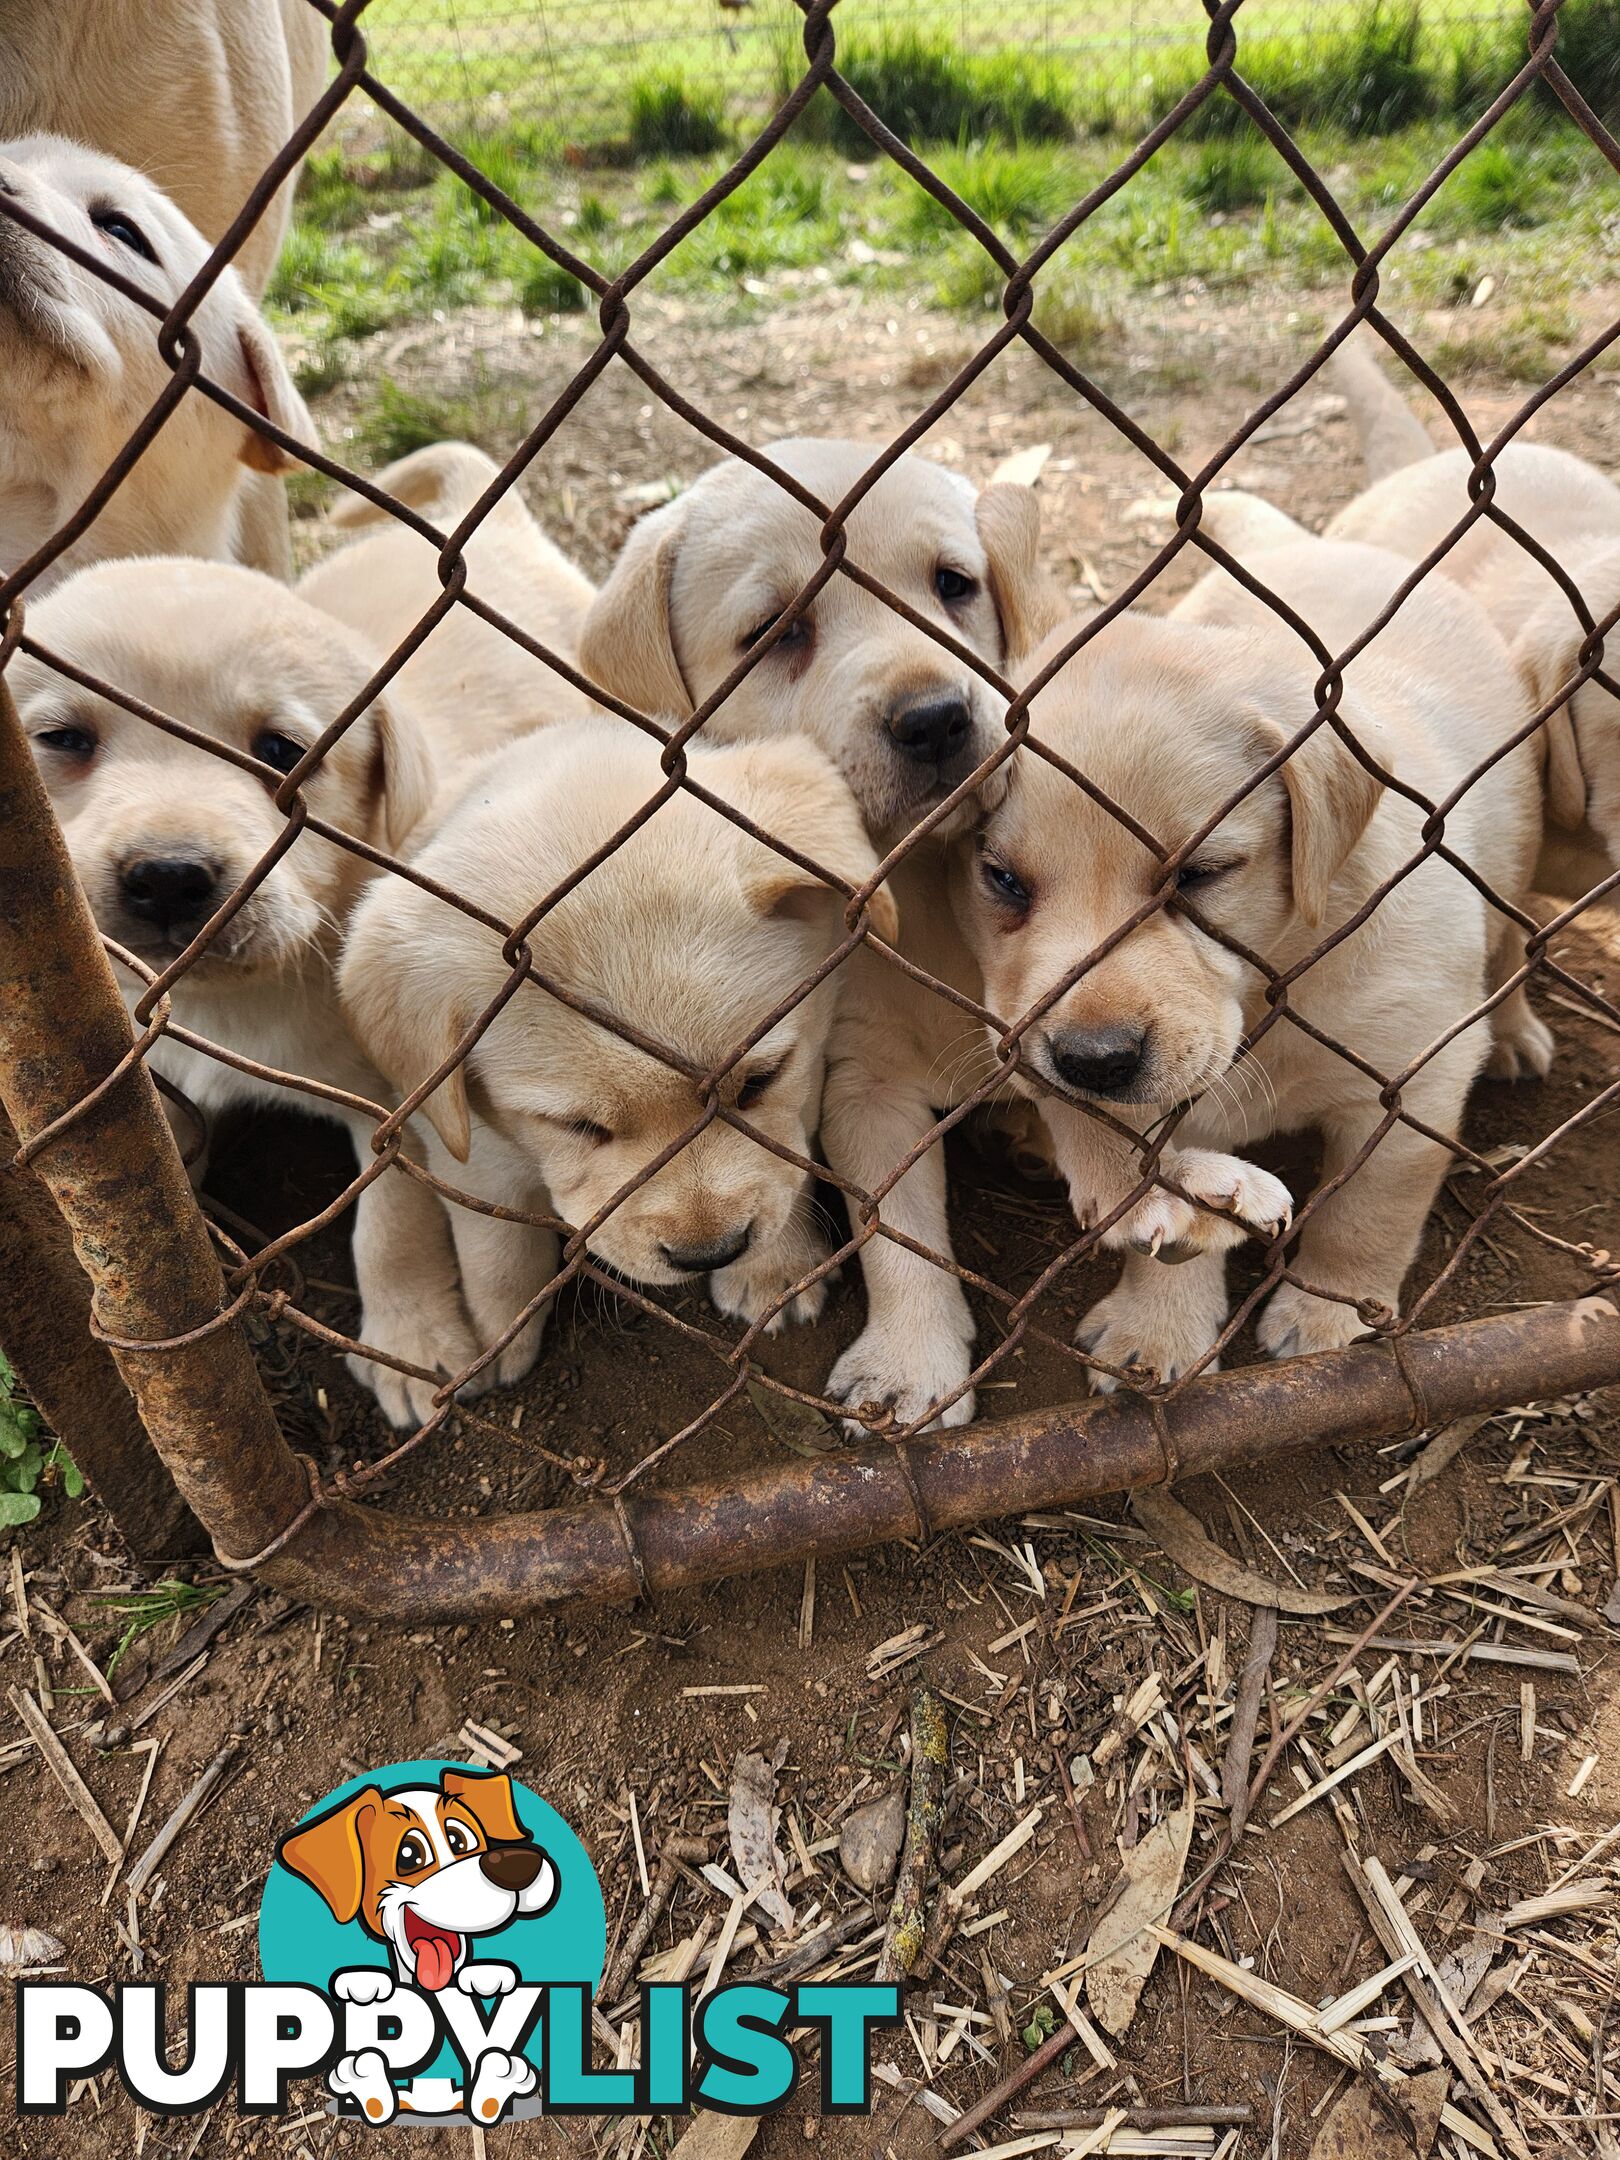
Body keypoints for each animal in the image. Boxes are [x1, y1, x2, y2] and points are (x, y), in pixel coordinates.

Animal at [14, 561, 488, 1434]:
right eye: (61, 739)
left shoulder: (394, 1107)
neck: (222, 1006)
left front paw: (411, 1340)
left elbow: (391, 1225)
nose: (170, 876)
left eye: (283, 752)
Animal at [343, 717, 902, 1408]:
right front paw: (488, 1331)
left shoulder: (808, 1068)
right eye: (579, 1128)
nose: (711, 1253)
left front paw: (776, 1265)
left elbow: (788, 1160)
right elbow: (495, 1240)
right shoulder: (450, 1130)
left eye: (758, 1082)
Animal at [959, 531, 1537, 1391]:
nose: (1090, 1063)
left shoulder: (1414, 1079)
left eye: (1199, 876)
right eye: (1001, 879)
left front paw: (1332, 1311)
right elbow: (1170, 1216)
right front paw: (1157, 1328)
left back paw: (1517, 1032)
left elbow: (1370, 1206)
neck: (1276, 982)